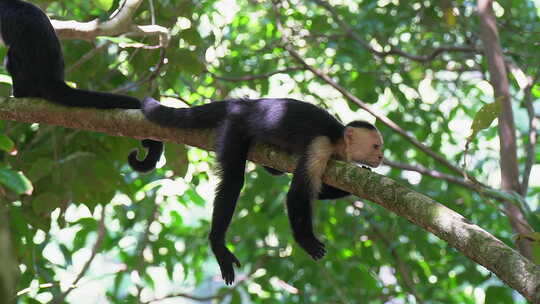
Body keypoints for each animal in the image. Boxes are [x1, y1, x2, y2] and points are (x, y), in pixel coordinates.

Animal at [132, 97, 382, 284]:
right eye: (376, 146)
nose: (380, 157)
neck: (337, 140)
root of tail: (245, 103)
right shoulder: (320, 145)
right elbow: (299, 192)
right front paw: (307, 240)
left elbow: (319, 190)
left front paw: (362, 176)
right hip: (235, 126)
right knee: (233, 182)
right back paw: (217, 243)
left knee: (272, 171)